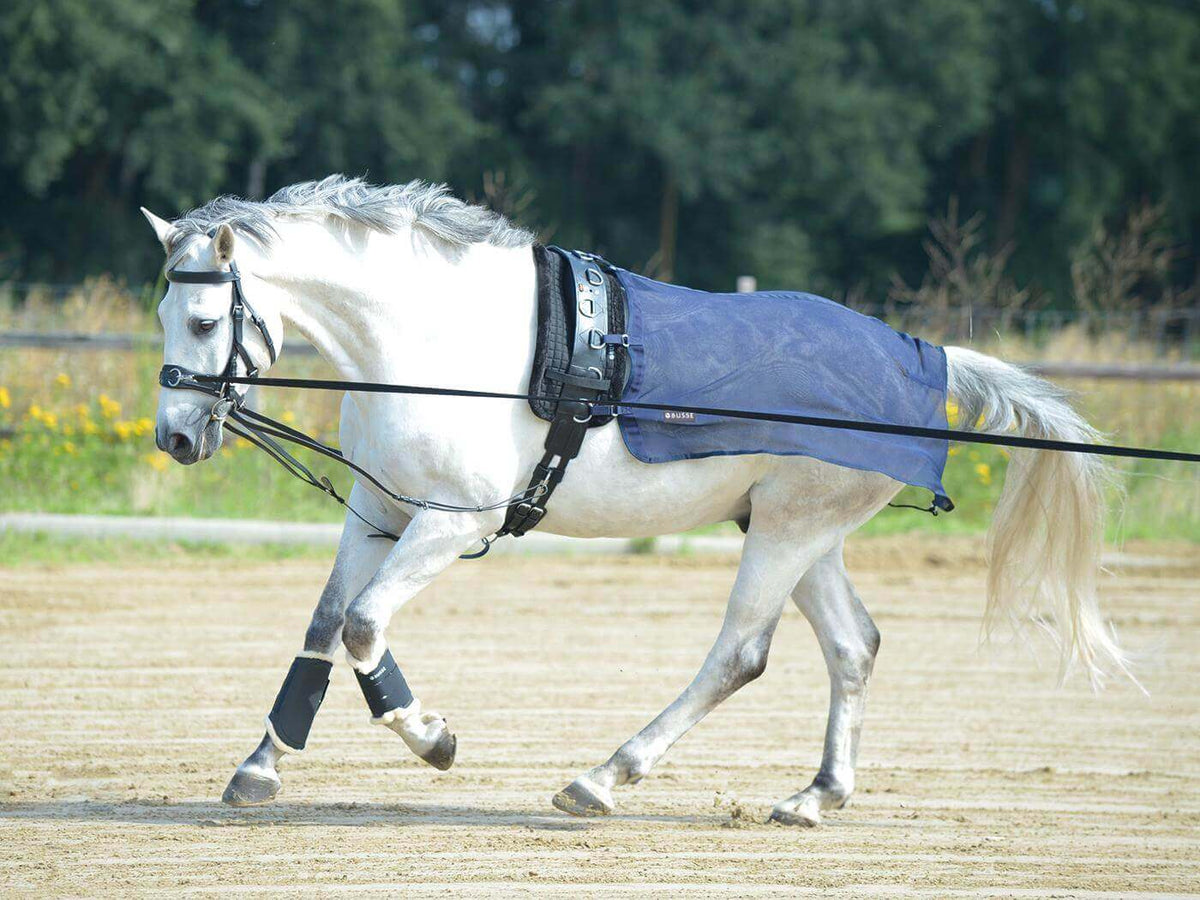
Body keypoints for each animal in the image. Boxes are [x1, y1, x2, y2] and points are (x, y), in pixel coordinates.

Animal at [143, 175, 1129, 826]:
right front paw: (262, 766)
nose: (177, 438)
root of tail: (922, 359)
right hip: (802, 532)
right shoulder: (375, 513)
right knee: (854, 647)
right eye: (162, 315)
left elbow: (362, 626)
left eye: (203, 319)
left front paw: (431, 737)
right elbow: (323, 626)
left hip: (787, 532)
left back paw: (603, 778)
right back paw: (815, 797)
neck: (432, 344)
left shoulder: (453, 521)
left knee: (740, 655)